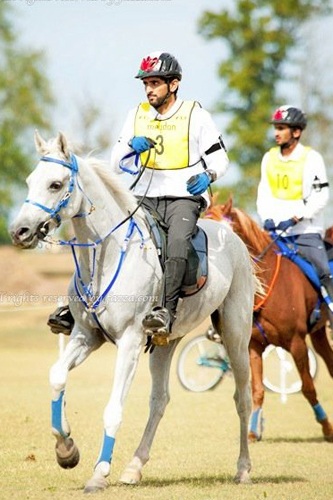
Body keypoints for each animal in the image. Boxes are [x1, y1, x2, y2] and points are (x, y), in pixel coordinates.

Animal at [9, 132, 254, 492]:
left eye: (55, 184)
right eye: (29, 181)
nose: (19, 232)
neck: (104, 256)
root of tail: (232, 235)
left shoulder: (129, 341)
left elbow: (113, 410)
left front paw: (99, 473)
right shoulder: (86, 336)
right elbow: (57, 377)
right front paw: (66, 450)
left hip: (235, 336)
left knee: (242, 398)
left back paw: (244, 468)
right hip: (166, 344)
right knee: (160, 400)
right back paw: (134, 467)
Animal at [205, 197, 332, 444]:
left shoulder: (297, 343)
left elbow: (308, 387)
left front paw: (327, 428)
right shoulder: (253, 346)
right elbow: (257, 390)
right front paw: (253, 431)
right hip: (319, 334)